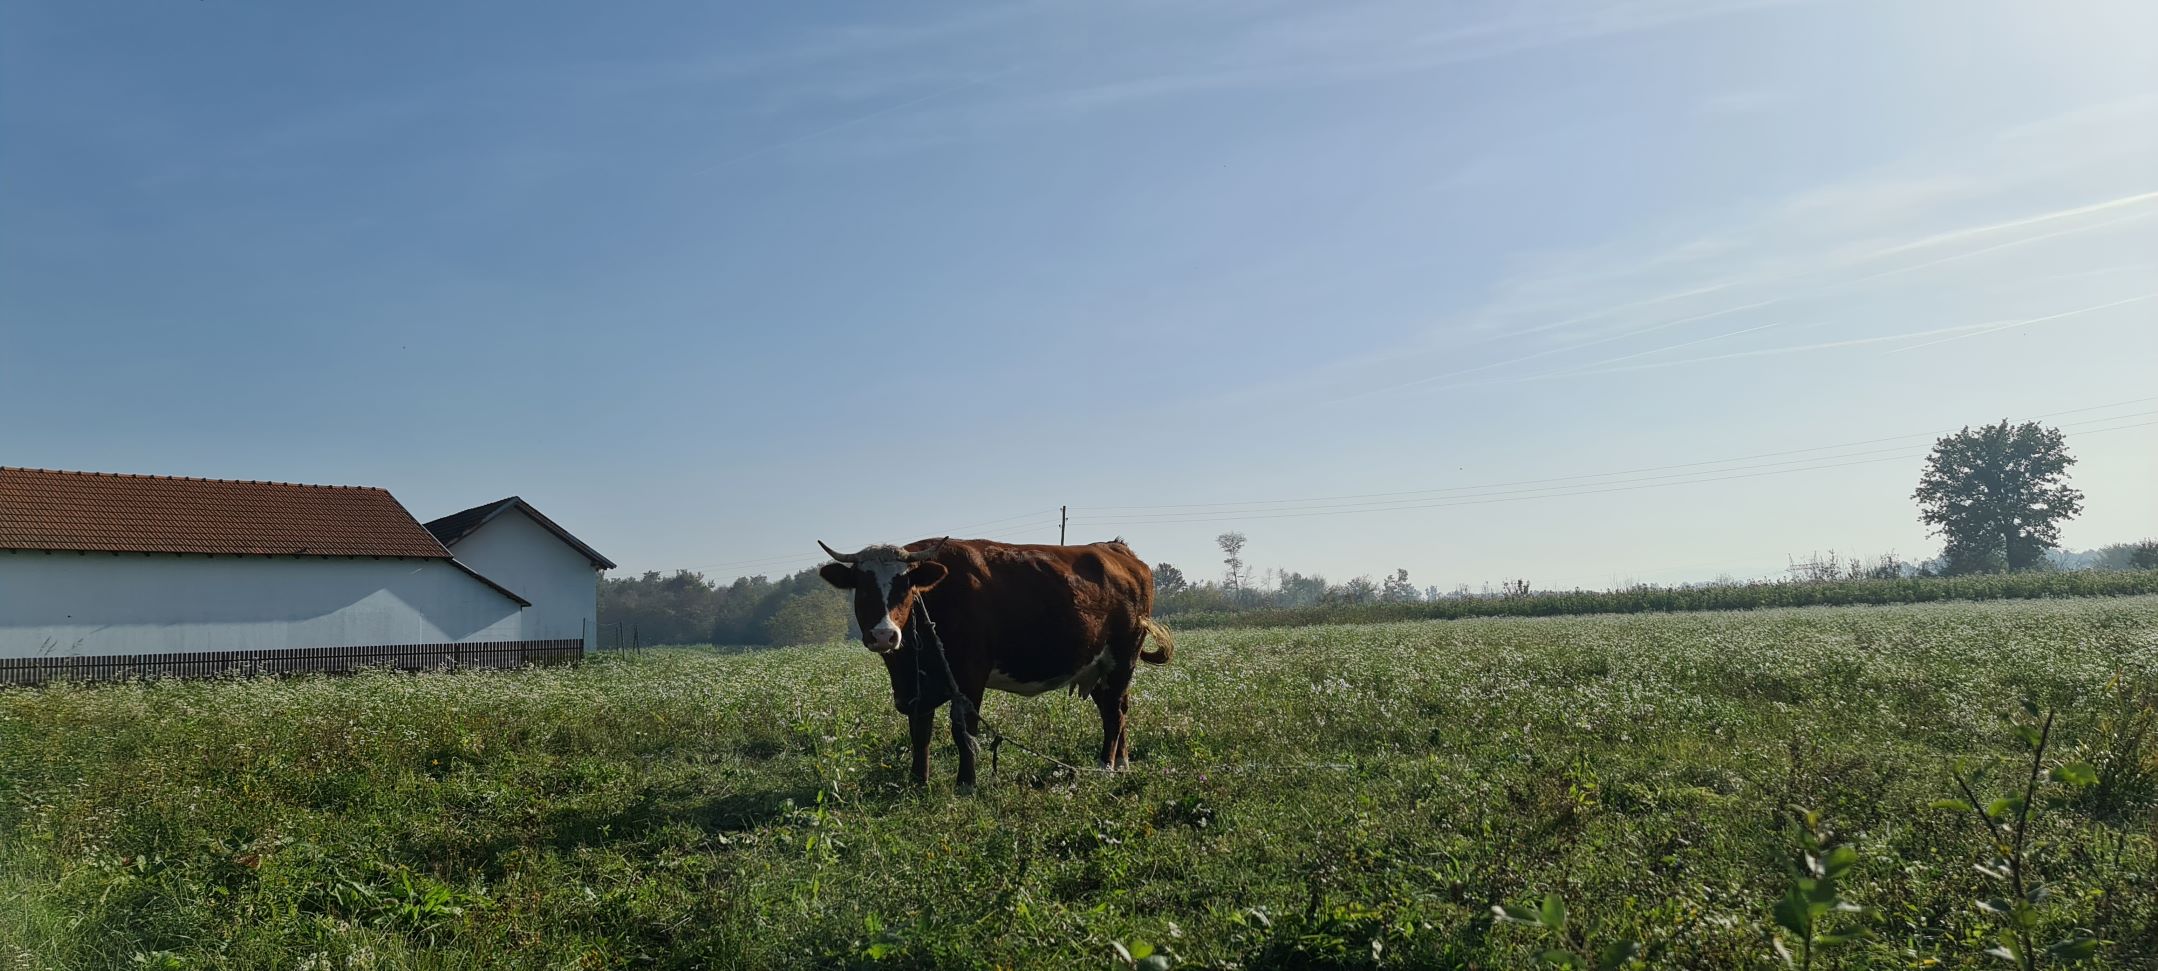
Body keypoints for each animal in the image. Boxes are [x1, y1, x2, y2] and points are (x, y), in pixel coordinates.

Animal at [815, 539, 1173, 789]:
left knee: (1113, 714)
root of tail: (1115, 548)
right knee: (1118, 708)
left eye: (905, 586)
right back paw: (1122, 763)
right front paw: (918, 780)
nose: (884, 635)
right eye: (863, 588)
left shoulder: (970, 675)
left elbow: (964, 732)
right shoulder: (916, 687)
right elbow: (920, 732)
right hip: (1098, 668)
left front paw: (966, 783)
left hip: (1121, 659)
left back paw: (1105, 767)